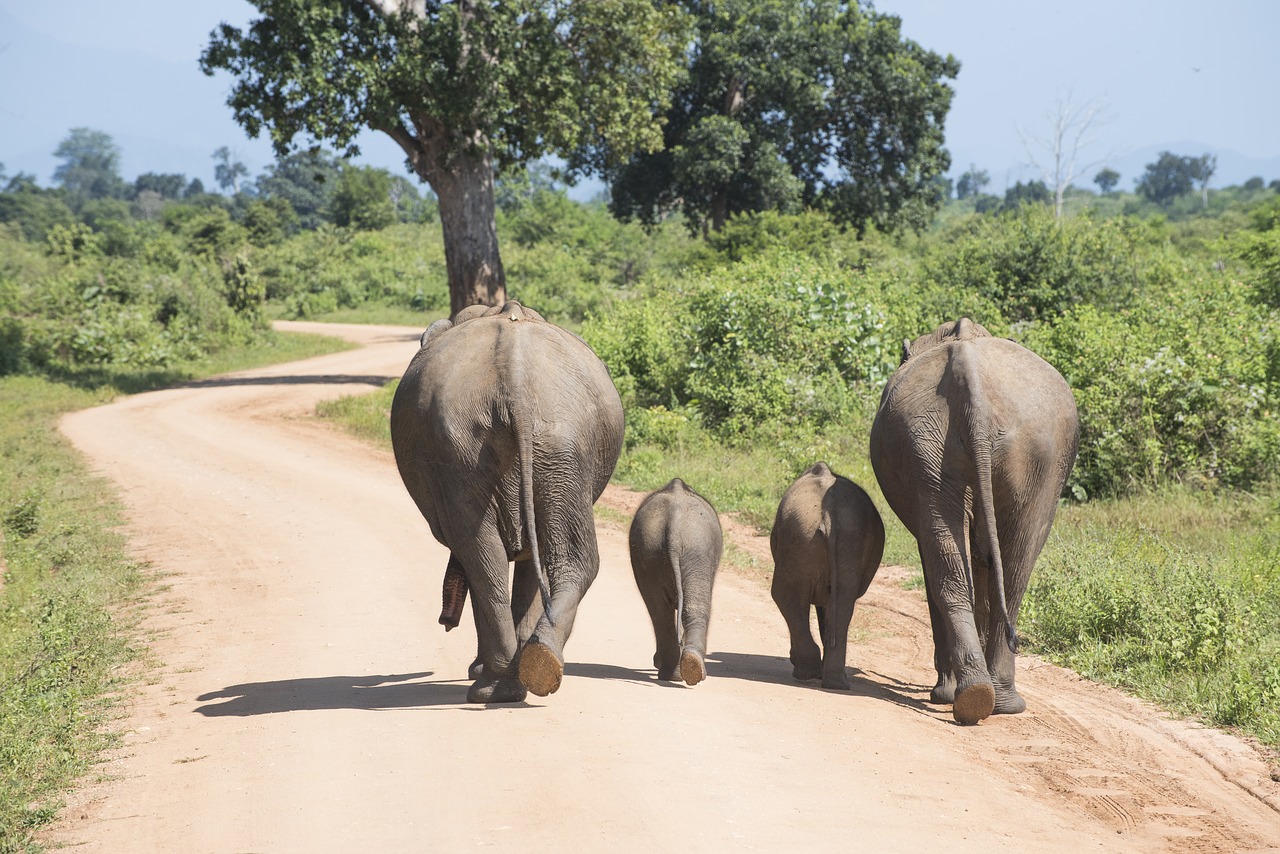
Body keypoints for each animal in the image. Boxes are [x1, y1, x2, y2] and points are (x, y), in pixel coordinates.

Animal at [394, 303, 624, 706]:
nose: (445, 621)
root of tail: (514, 381)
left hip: (486, 448)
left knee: (484, 555)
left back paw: (495, 682)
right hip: (539, 445)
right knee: (537, 557)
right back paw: (531, 669)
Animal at [627, 481, 721, 686]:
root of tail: (674, 529)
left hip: (663, 550)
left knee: (661, 611)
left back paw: (684, 670)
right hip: (691, 549)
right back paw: (684, 672)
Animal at [762, 463, 885, 691]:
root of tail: (829, 518)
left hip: (802, 537)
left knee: (784, 595)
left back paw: (808, 673)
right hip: (837, 539)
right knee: (842, 603)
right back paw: (835, 682)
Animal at [870, 320, 1080, 727]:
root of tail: (972, 383)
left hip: (972, 447)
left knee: (977, 566)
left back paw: (977, 697)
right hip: (959, 448)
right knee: (1009, 567)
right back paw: (987, 699)